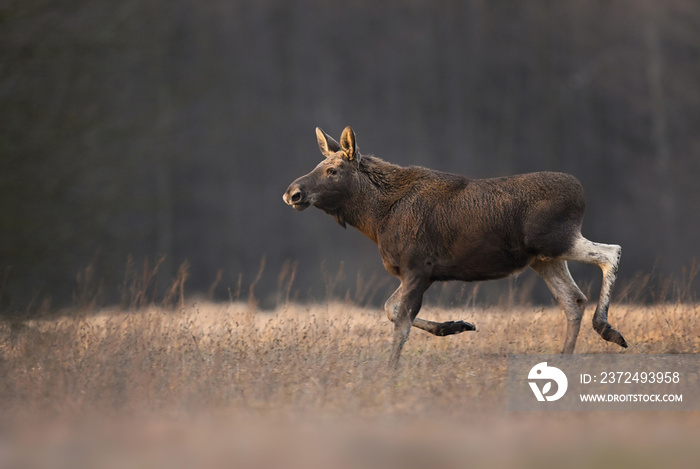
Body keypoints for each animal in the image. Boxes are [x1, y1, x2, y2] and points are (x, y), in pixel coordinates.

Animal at [284, 127, 628, 366]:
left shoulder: (417, 267)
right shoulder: (419, 274)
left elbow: (398, 318)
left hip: (557, 240)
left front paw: (390, 371)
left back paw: (607, 329)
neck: (376, 219)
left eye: (332, 170)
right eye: (319, 165)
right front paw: (456, 325)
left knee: (610, 252)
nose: (293, 192)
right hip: (544, 258)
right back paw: (566, 358)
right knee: (573, 299)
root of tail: (581, 193)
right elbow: (394, 311)